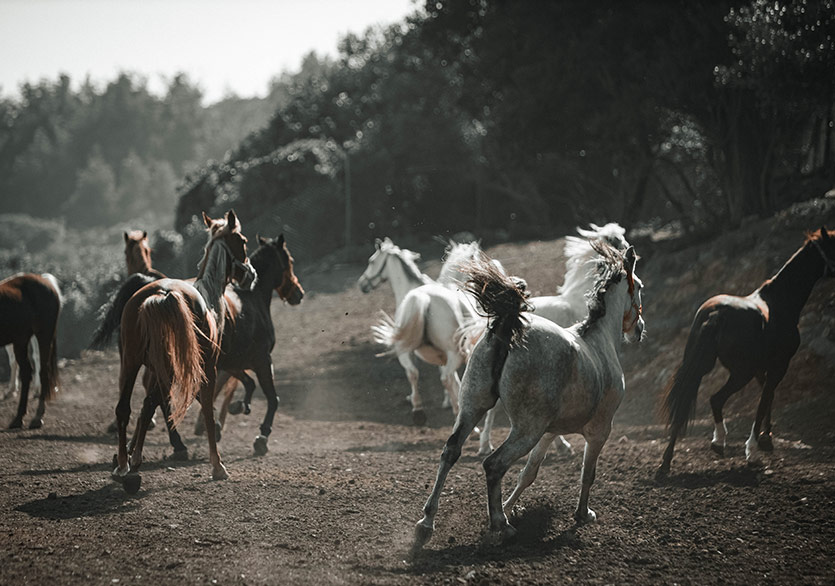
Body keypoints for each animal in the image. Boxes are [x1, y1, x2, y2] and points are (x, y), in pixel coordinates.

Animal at [0, 272, 62, 426]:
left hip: (42, 335)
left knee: (41, 370)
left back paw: (35, 417)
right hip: (21, 340)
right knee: (27, 371)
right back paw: (20, 417)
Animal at [112, 208, 258, 490]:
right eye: (243, 241)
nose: (251, 274)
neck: (209, 294)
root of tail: (161, 294)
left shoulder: (156, 369)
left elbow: (150, 407)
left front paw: (132, 456)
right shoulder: (208, 368)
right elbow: (207, 410)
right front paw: (217, 465)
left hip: (133, 361)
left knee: (125, 408)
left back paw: (124, 464)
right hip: (168, 367)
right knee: (150, 405)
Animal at [360, 237, 484, 424]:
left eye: (370, 261)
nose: (362, 284)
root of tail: (424, 298)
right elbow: (457, 381)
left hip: (407, 352)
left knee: (415, 373)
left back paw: (420, 411)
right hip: (449, 354)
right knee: (443, 378)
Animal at [414, 240, 648, 548]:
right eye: (640, 286)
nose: (639, 329)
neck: (599, 340)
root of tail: (507, 330)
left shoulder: (549, 432)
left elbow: (529, 473)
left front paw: (511, 506)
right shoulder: (599, 431)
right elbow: (588, 473)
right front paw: (583, 514)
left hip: (474, 408)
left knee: (451, 451)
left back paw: (427, 523)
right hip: (526, 429)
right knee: (493, 465)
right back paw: (501, 525)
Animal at [660, 226, 835, 476]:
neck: (779, 302)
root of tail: (717, 314)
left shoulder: (761, 369)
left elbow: (768, 396)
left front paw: (766, 438)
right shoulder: (778, 366)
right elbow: (763, 402)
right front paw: (754, 450)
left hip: (699, 367)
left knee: (684, 406)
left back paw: (666, 463)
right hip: (740, 374)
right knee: (716, 399)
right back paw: (721, 444)